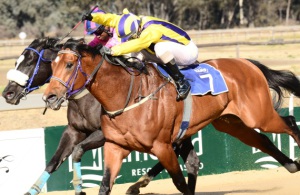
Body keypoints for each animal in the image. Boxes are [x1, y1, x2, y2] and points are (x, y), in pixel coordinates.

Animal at [2, 37, 199, 195]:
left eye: (30, 62)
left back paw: (137, 184)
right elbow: (54, 161)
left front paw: (80, 189)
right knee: (187, 157)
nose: (7, 93)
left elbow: (77, 151)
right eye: (16, 62)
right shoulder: (74, 131)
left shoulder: (104, 134)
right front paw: (31, 190)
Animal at [42, 40, 300, 194]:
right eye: (52, 65)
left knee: (289, 122)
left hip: (259, 115)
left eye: (69, 64)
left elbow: (180, 182)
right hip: (232, 123)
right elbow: (105, 185)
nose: (49, 96)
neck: (126, 96)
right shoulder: (115, 146)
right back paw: (291, 164)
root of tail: (248, 63)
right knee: (262, 140)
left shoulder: (162, 146)